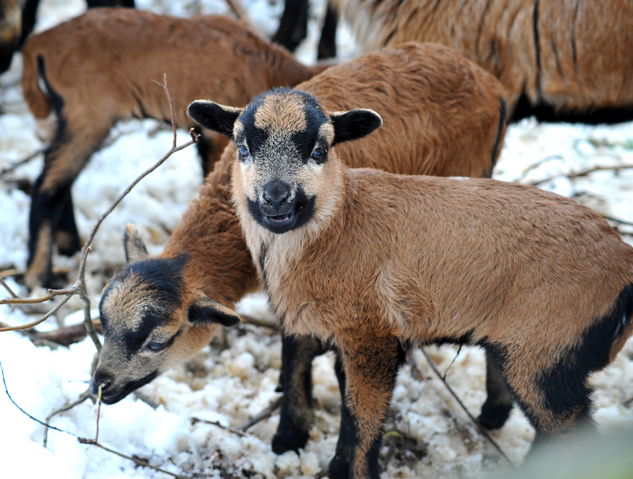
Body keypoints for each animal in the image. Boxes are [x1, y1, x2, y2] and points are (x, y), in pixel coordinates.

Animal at [21, 8, 324, 288]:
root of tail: (40, 41)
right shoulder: (220, 139)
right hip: (88, 116)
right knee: (46, 184)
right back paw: (38, 276)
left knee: (60, 181)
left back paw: (69, 249)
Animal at [94, 44, 506, 458]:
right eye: (242, 147)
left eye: (158, 341)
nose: (100, 386)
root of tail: (483, 77)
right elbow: (294, 344)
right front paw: (292, 427)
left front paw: (297, 432)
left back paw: (493, 413)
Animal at [190, 87, 632, 479]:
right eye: (243, 147)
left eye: (319, 150)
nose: (276, 198)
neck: (338, 223)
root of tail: (623, 267)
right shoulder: (307, 322)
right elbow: (306, 377)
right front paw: (293, 444)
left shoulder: (372, 337)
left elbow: (362, 415)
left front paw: (351, 470)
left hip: (546, 353)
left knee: (571, 434)